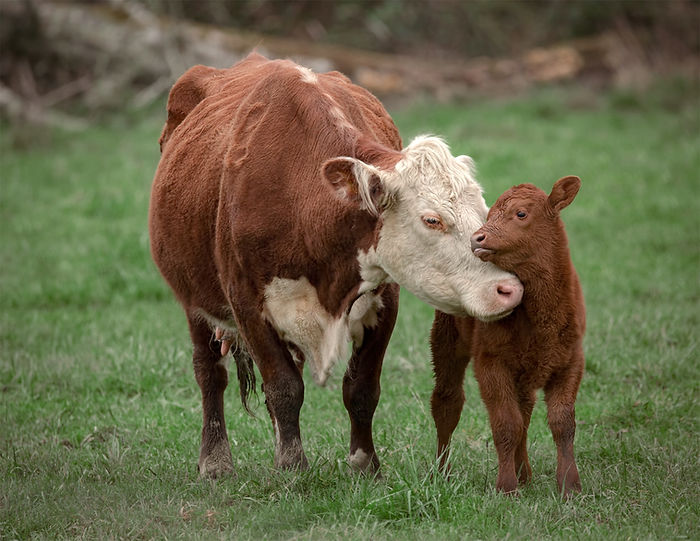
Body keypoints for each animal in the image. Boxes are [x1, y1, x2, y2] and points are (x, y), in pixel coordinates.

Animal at [149, 53, 523, 478]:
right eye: (432, 219)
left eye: (483, 212)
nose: (508, 289)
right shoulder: (246, 303)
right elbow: (283, 387)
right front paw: (292, 466)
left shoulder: (385, 299)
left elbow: (360, 388)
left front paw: (364, 464)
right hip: (194, 299)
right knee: (210, 371)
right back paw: (215, 460)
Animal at [430, 176, 585, 497]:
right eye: (488, 216)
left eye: (521, 213)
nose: (477, 238)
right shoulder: (491, 362)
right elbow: (505, 424)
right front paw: (506, 487)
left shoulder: (571, 361)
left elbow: (562, 423)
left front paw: (569, 485)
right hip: (446, 340)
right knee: (447, 403)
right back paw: (442, 473)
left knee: (524, 411)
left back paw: (524, 473)